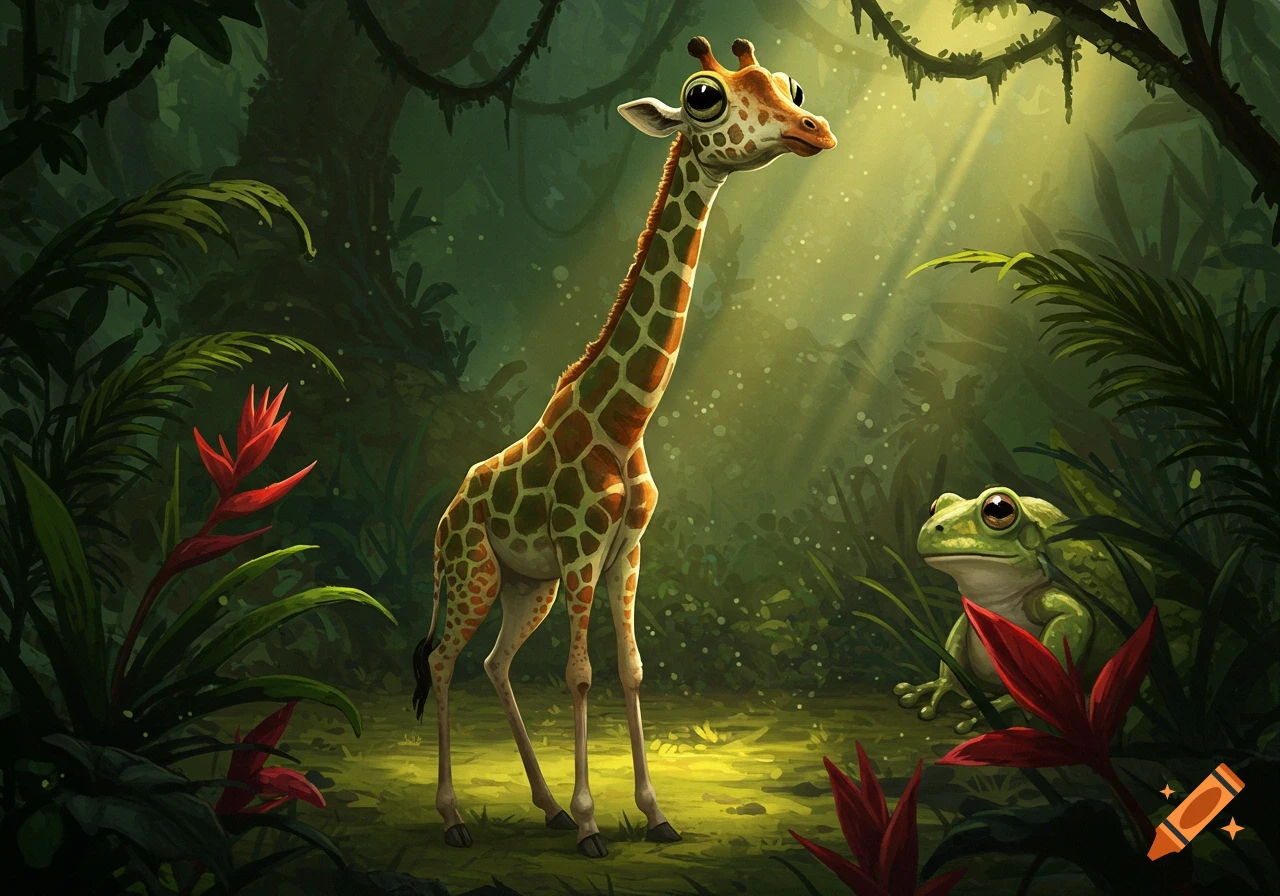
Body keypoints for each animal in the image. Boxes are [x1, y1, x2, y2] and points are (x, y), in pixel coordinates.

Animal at [411, 35, 836, 858]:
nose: (815, 130)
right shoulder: (582, 545)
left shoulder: (626, 549)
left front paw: (653, 813)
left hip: (527, 585)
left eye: (791, 85)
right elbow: (580, 674)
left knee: (496, 664)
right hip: (474, 571)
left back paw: (542, 806)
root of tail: (444, 516)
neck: (625, 422)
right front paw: (590, 826)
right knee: (445, 661)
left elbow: (632, 669)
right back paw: (452, 818)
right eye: (704, 95)